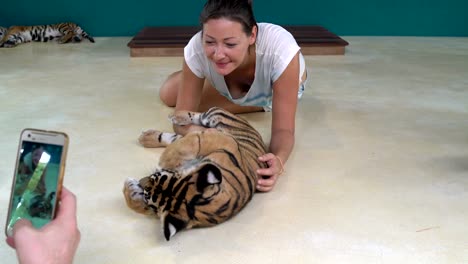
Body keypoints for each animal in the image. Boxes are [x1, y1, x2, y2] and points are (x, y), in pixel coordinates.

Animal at [122, 106, 268, 241]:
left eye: (154, 179)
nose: (141, 181)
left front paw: (130, 187)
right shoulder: (225, 141)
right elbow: (189, 144)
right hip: (213, 115)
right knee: (195, 117)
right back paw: (172, 118)